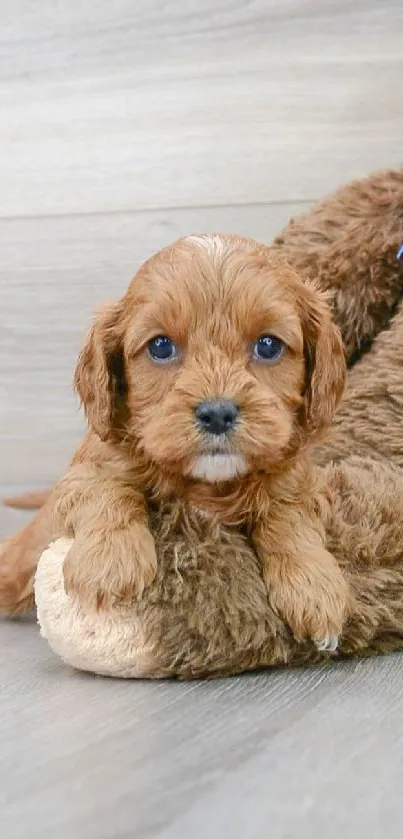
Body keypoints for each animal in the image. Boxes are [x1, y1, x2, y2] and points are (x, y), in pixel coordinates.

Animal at [0, 236, 350, 648]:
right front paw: (108, 561)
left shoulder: (301, 481)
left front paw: (315, 587)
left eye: (268, 346)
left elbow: (289, 513)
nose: (217, 413)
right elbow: (105, 487)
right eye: (161, 347)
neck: (208, 485)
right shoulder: (90, 465)